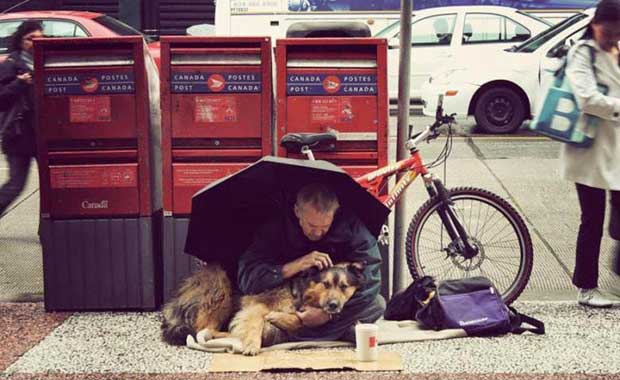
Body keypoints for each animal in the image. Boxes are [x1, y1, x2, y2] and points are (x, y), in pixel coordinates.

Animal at [230, 262, 366, 356]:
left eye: (344, 286)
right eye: (326, 284)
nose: (333, 305)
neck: (302, 293)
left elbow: (299, 320)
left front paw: (277, 317)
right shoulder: (257, 307)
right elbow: (255, 325)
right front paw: (252, 345)